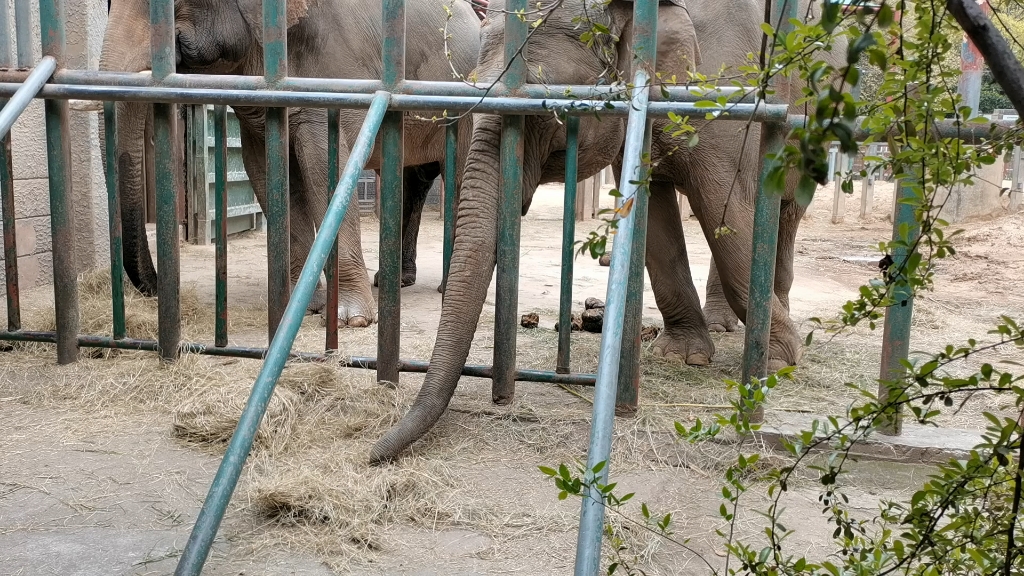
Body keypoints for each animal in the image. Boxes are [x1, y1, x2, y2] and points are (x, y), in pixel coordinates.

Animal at [101, 0, 481, 325]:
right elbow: (266, 170)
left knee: (459, 176)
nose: (155, 286)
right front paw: (304, 307)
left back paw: (445, 288)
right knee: (412, 181)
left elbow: (325, 166)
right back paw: (394, 281)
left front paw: (351, 319)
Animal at [372, 0, 851, 459]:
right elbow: (655, 219)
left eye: (549, 110)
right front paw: (684, 358)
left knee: (783, 212)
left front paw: (780, 363)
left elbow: (726, 209)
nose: (374, 452)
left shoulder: (728, 89)